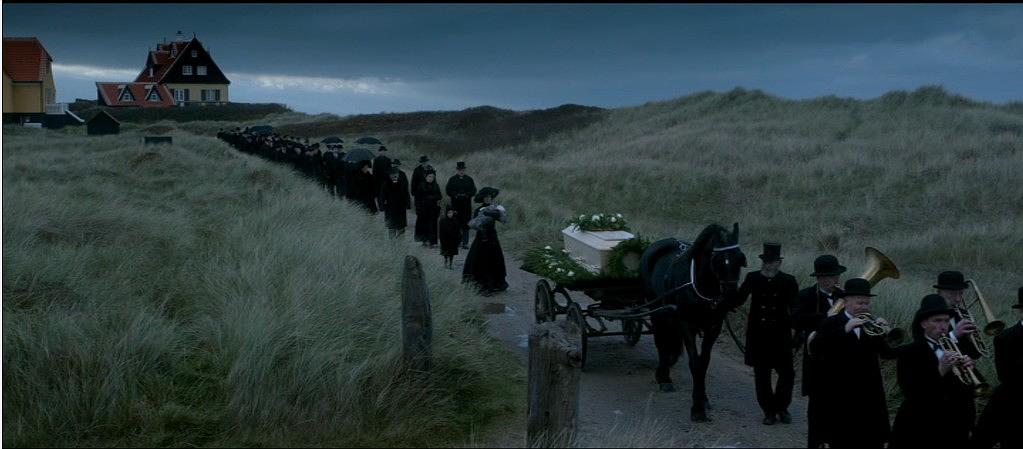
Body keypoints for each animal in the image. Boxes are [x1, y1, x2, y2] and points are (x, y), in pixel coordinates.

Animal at [639, 223, 746, 422]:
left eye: (740, 260)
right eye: (717, 261)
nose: (730, 298)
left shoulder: (714, 327)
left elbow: (704, 362)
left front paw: (703, 399)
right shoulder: (687, 324)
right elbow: (694, 362)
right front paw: (697, 409)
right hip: (657, 311)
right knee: (661, 343)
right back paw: (664, 377)